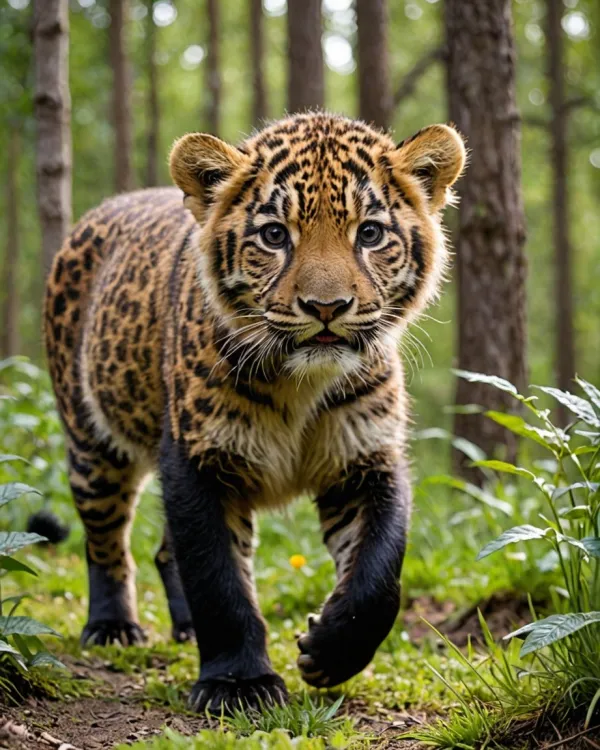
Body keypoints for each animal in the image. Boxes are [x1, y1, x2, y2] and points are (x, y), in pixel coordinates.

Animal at [44, 112, 465, 713]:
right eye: (274, 235)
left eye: (369, 233)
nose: (326, 308)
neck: (300, 385)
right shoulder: (198, 459)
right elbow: (217, 577)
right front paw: (239, 684)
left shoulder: (366, 460)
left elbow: (380, 571)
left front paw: (329, 650)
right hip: (92, 444)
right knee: (105, 541)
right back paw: (112, 627)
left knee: (166, 550)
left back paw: (184, 629)